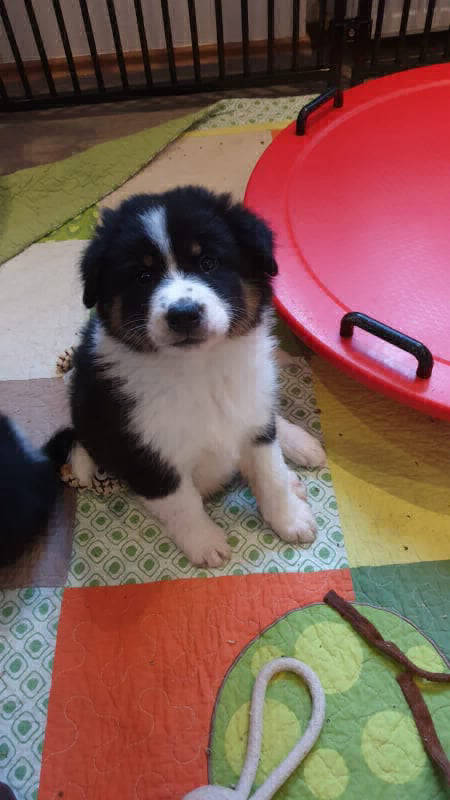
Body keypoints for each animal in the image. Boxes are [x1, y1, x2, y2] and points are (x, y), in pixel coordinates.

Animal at [69, 186, 326, 567]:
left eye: (208, 263)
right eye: (142, 276)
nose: (184, 314)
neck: (200, 369)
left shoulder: (251, 413)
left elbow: (269, 470)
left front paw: (289, 517)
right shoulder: (144, 450)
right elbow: (181, 501)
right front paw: (205, 542)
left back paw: (299, 447)